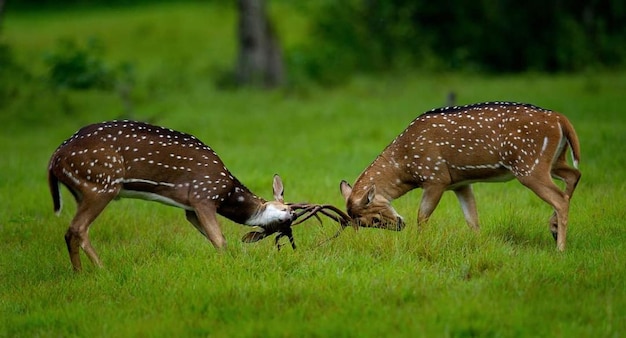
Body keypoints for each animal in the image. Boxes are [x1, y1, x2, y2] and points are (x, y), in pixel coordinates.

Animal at [48, 120, 344, 270]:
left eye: (284, 228)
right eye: (288, 213)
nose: (289, 218)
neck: (227, 193)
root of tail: (54, 160)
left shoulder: (189, 208)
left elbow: (213, 239)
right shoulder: (203, 195)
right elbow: (220, 239)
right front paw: (229, 264)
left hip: (83, 189)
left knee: (75, 231)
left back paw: (83, 273)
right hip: (102, 184)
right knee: (77, 229)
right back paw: (99, 271)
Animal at [338, 102, 576, 251]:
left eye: (374, 219)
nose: (399, 225)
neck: (405, 165)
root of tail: (561, 119)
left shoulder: (436, 177)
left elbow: (422, 216)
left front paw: (419, 244)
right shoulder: (460, 183)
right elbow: (473, 220)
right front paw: (480, 245)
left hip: (529, 165)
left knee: (560, 198)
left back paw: (560, 248)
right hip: (555, 160)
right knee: (574, 175)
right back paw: (554, 228)